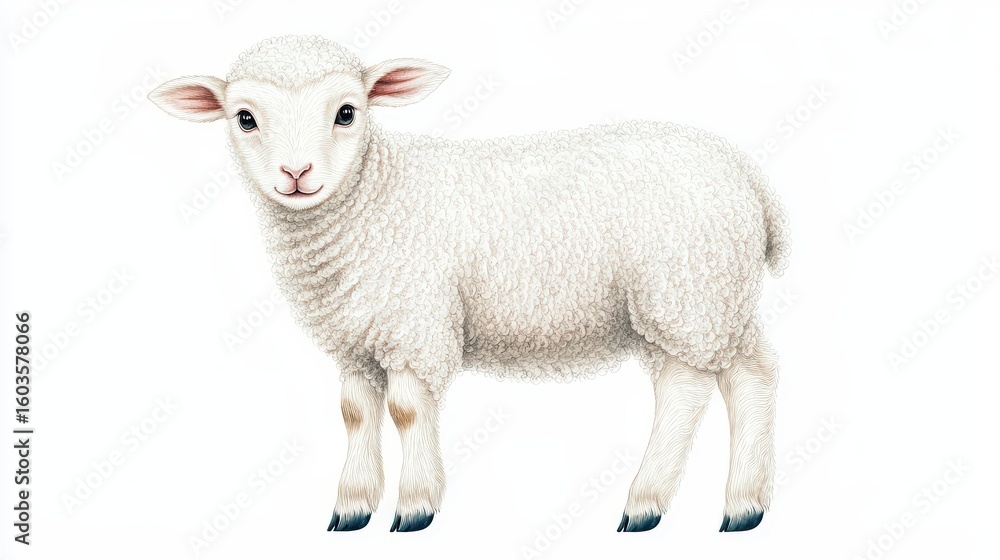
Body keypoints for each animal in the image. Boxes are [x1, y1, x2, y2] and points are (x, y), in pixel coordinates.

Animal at [149, 35, 790, 534]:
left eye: (347, 112)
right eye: (245, 118)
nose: (297, 173)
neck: (371, 198)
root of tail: (748, 175)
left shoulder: (415, 324)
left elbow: (406, 411)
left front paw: (414, 507)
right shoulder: (357, 337)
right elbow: (355, 412)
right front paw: (352, 507)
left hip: (685, 291)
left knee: (686, 391)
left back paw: (645, 503)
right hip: (715, 297)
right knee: (750, 374)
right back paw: (743, 508)